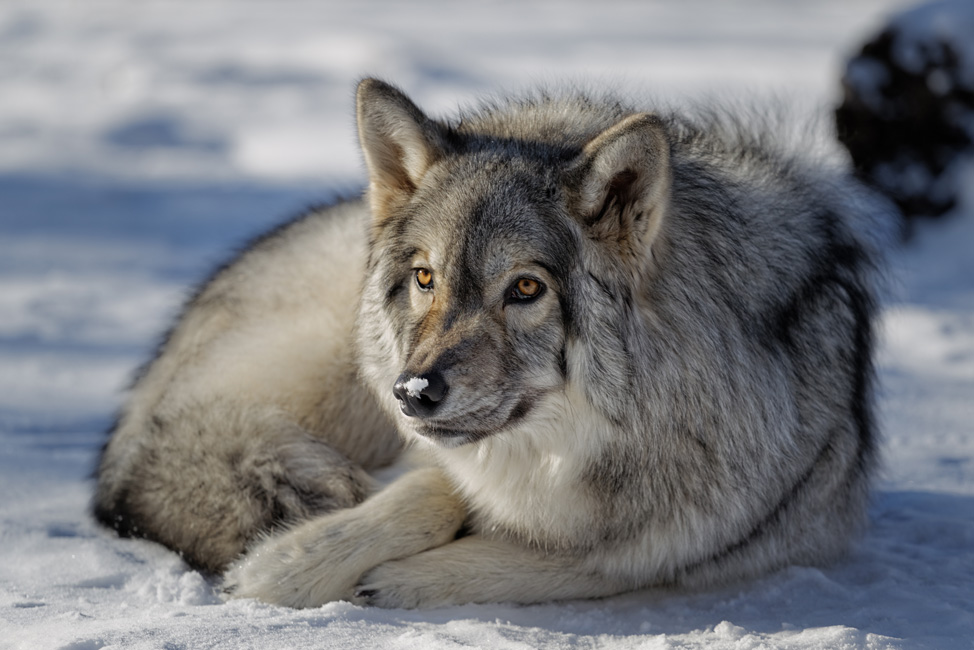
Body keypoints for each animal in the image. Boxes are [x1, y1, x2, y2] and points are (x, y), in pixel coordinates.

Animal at [93, 78, 892, 604]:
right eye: (426, 277)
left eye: (527, 289)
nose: (413, 392)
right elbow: (427, 489)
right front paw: (293, 563)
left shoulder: (676, 542)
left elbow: (572, 557)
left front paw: (396, 578)